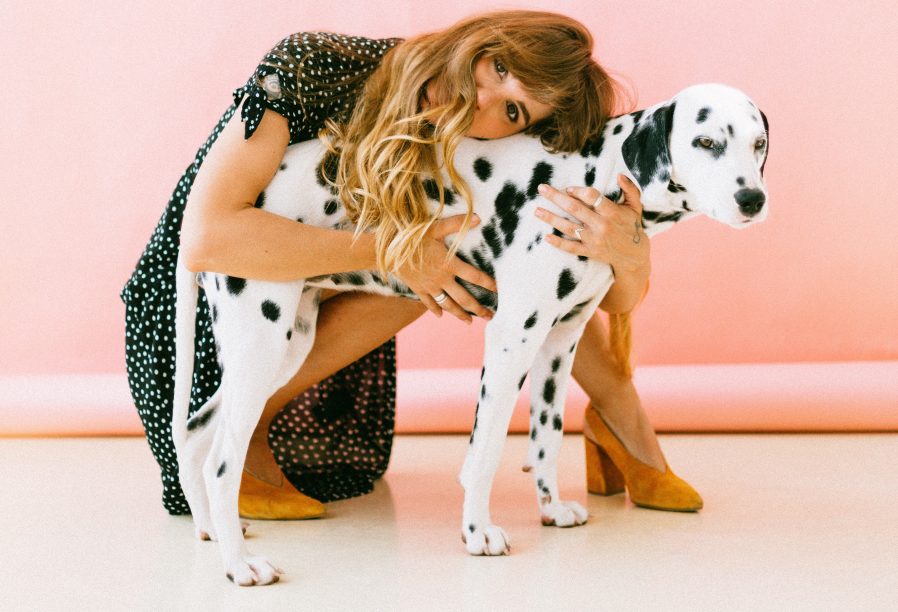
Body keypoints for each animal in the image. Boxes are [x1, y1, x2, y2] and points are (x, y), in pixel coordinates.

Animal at [172, 83, 768, 584]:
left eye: (758, 143)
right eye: (706, 141)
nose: (753, 199)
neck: (589, 176)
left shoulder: (559, 343)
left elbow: (547, 437)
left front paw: (550, 508)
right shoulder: (512, 337)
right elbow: (485, 450)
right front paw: (478, 532)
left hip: (282, 350)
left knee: (197, 432)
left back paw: (211, 531)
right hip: (261, 344)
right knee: (221, 463)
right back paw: (239, 565)